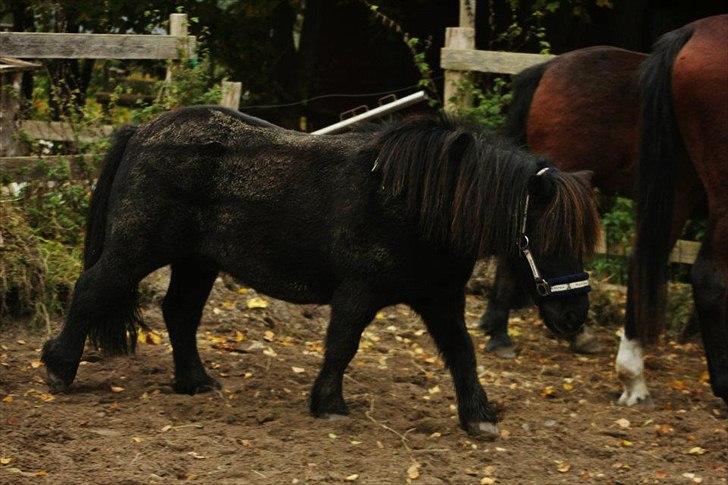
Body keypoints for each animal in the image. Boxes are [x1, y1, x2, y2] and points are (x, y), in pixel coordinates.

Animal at [40, 107, 600, 437]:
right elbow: (342, 345)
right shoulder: (358, 292)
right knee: (91, 289)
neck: (417, 203)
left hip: (197, 262)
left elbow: (462, 354)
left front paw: (479, 417)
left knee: (179, 313)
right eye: (545, 239)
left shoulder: (440, 298)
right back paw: (58, 369)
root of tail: (143, 132)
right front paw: (329, 403)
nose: (575, 315)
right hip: (138, 248)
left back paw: (196, 382)